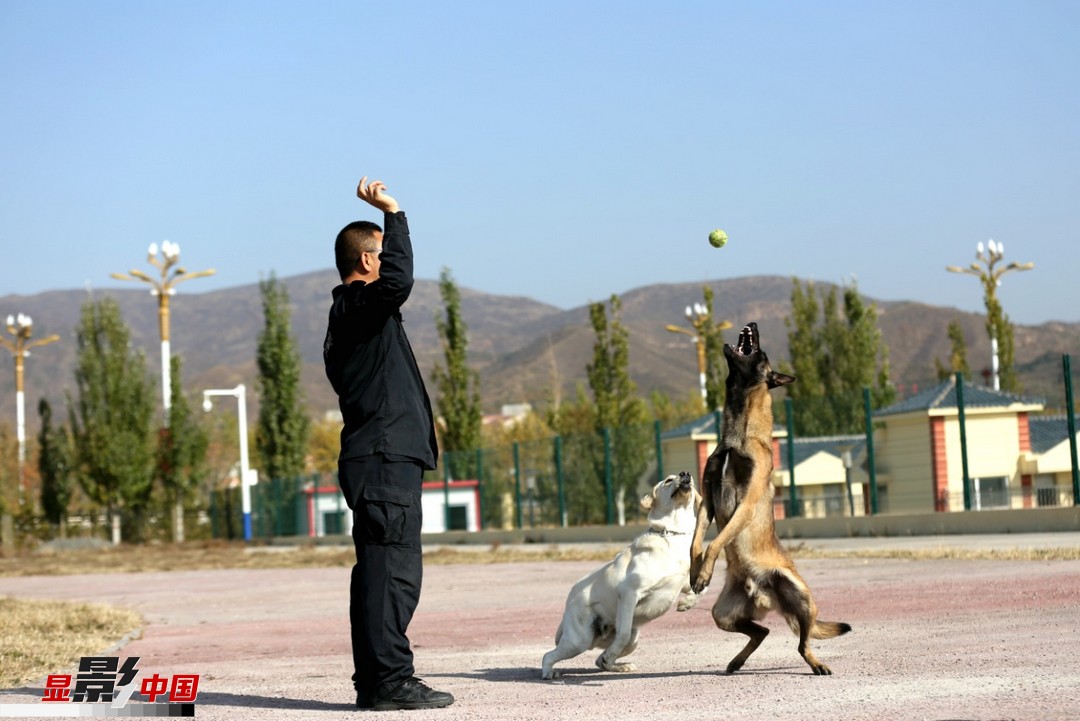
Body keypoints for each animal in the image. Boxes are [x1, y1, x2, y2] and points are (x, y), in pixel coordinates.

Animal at [537, 470, 699, 677]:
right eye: (668, 480)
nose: (685, 474)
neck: (672, 535)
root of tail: (568, 606)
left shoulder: (684, 582)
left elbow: (699, 591)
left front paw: (686, 604)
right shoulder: (629, 593)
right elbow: (622, 634)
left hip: (633, 638)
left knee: (599, 660)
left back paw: (619, 665)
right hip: (579, 641)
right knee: (548, 655)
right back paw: (549, 673)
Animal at [691, 321, 851, 677]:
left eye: (761, 352)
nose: (752, 324)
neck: (738, 434)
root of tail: (761, 593)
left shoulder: (746, 504)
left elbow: (715, 542)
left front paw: (704, 572)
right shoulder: (707, 502)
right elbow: (696, 542)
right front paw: (695, 572)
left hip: (801, 596)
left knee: (803, 643)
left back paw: (817, 664)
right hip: (723, 614)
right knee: (761, 631)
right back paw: (737, 661)